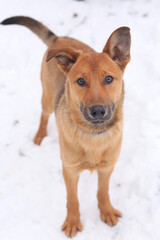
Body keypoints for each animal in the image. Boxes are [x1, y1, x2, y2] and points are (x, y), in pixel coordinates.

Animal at [0, 16, 131, 236]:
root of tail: (59, 39)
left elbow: (103, 191)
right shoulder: (69, 170)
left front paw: (106, 211)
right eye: (80, 81)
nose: (97, 111)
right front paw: (72, 222)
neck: (92, 135)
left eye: (108, 79)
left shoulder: (107, 167)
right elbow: (72, 199)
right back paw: (39, 136)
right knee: (44, 114)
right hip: (47, 96)